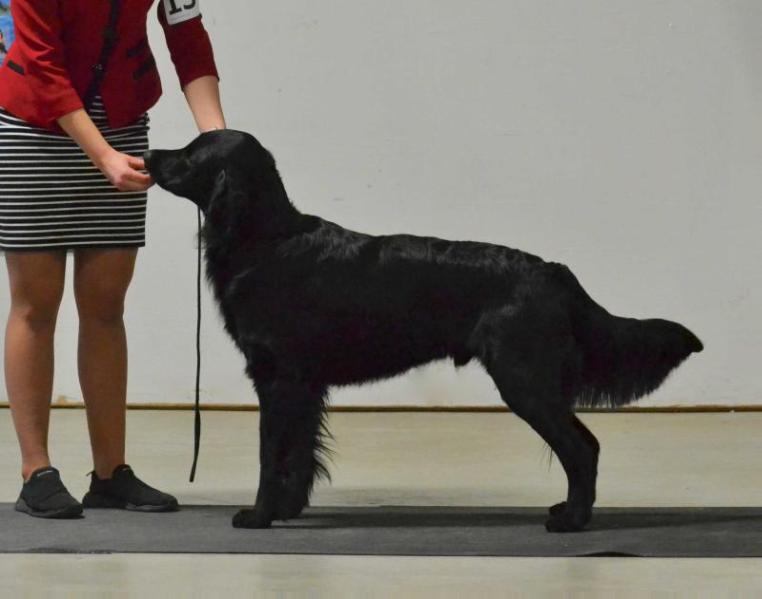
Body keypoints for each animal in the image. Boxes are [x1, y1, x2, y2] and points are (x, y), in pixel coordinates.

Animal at [142, 132, 700, 536]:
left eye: (190, 152)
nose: (147, 154)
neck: (265, 241)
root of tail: (552, 271)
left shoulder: (277, 377)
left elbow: (269, 454)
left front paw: (258, 516)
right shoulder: (304, 385)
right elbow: (299, 454)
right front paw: (289, 508)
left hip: (524, 380)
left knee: (583, 447)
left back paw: (572, 521)